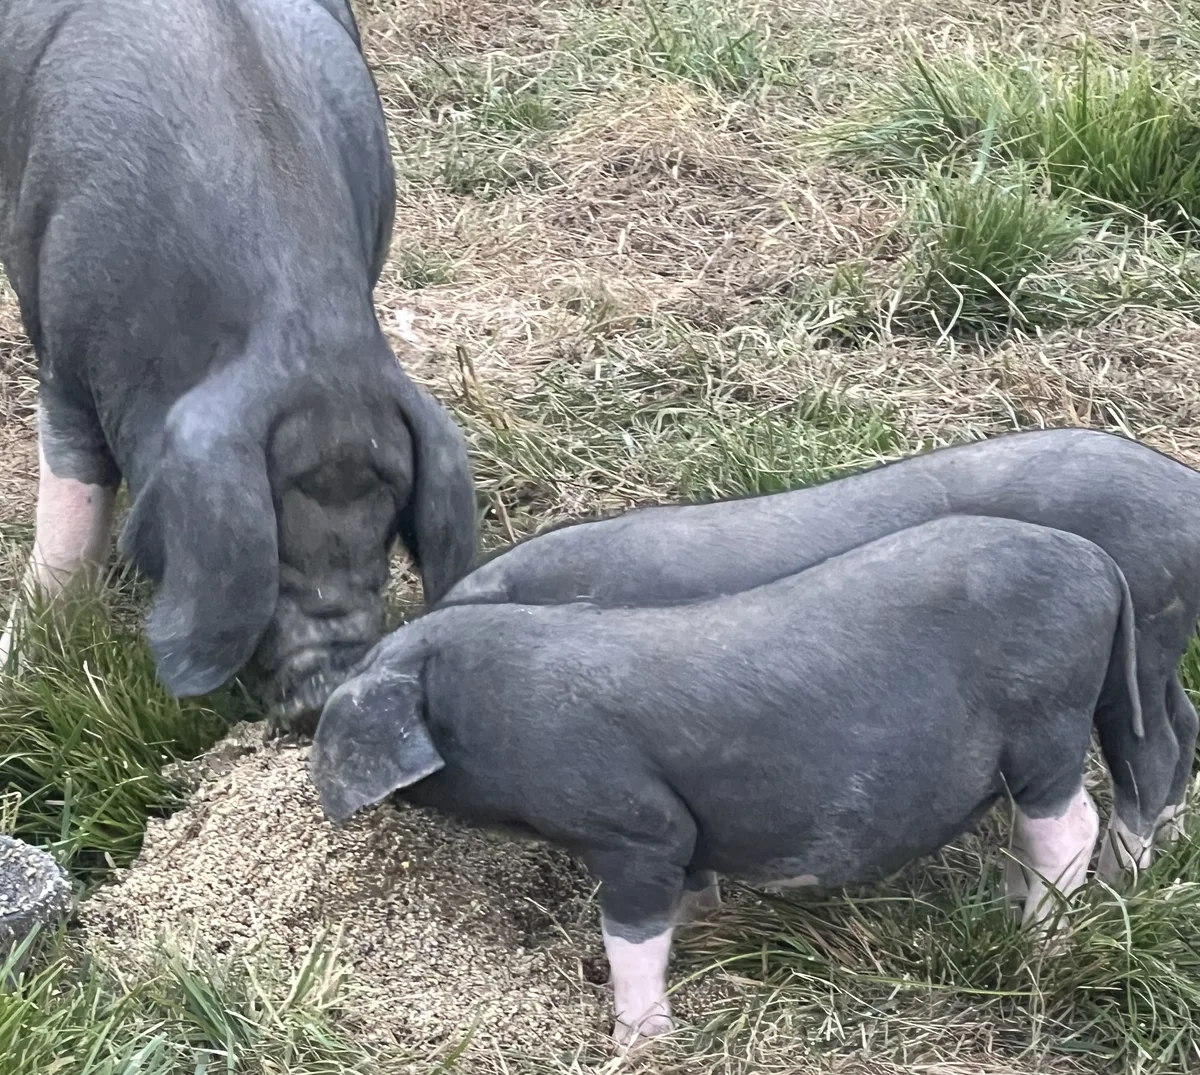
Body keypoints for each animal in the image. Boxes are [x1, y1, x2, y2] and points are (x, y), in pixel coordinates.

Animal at [310, 515, 1143, 1047]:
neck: (491, 701)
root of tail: (1100, 563)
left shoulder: (631, 822)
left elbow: (633, 929)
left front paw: (635, 1041)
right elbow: (691, 882)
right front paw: (702, 926)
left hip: (1047, 717)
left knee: (1071, 823)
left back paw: (1039, 942)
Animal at [440, 427, 1200, 882]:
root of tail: (1185, 490)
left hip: (1141, 636)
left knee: (1149, 749)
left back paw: (1121, 876)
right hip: (1157, 647)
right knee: (1183, 723)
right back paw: (1168, 838)